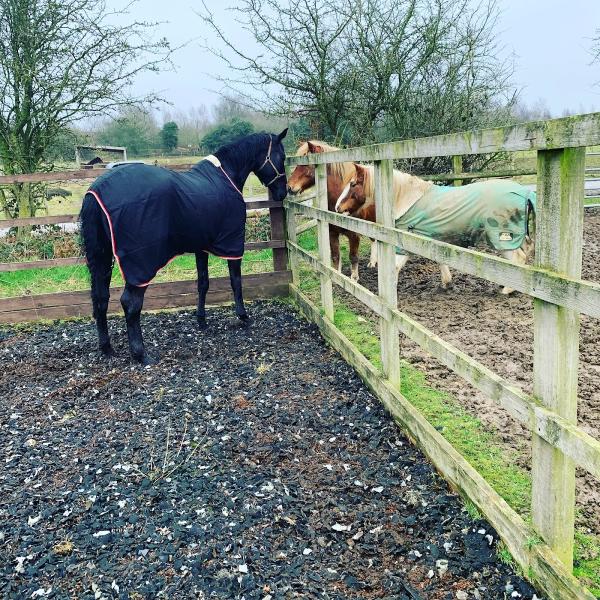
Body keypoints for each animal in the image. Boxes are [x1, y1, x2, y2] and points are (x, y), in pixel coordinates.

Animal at [80, 131, 288, 364]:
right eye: (282, 157)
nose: (283, 192)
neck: (226, 175)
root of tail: (95, 192)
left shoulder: (202, 246)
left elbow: (203, 283)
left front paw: (201, 321)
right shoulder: (232, 244)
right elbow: (236, 282)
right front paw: (243, 316)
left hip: (101, 258)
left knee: (101, 298)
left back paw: (107, 348)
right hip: (140, 264)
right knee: (130, 303)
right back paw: (141, 354)